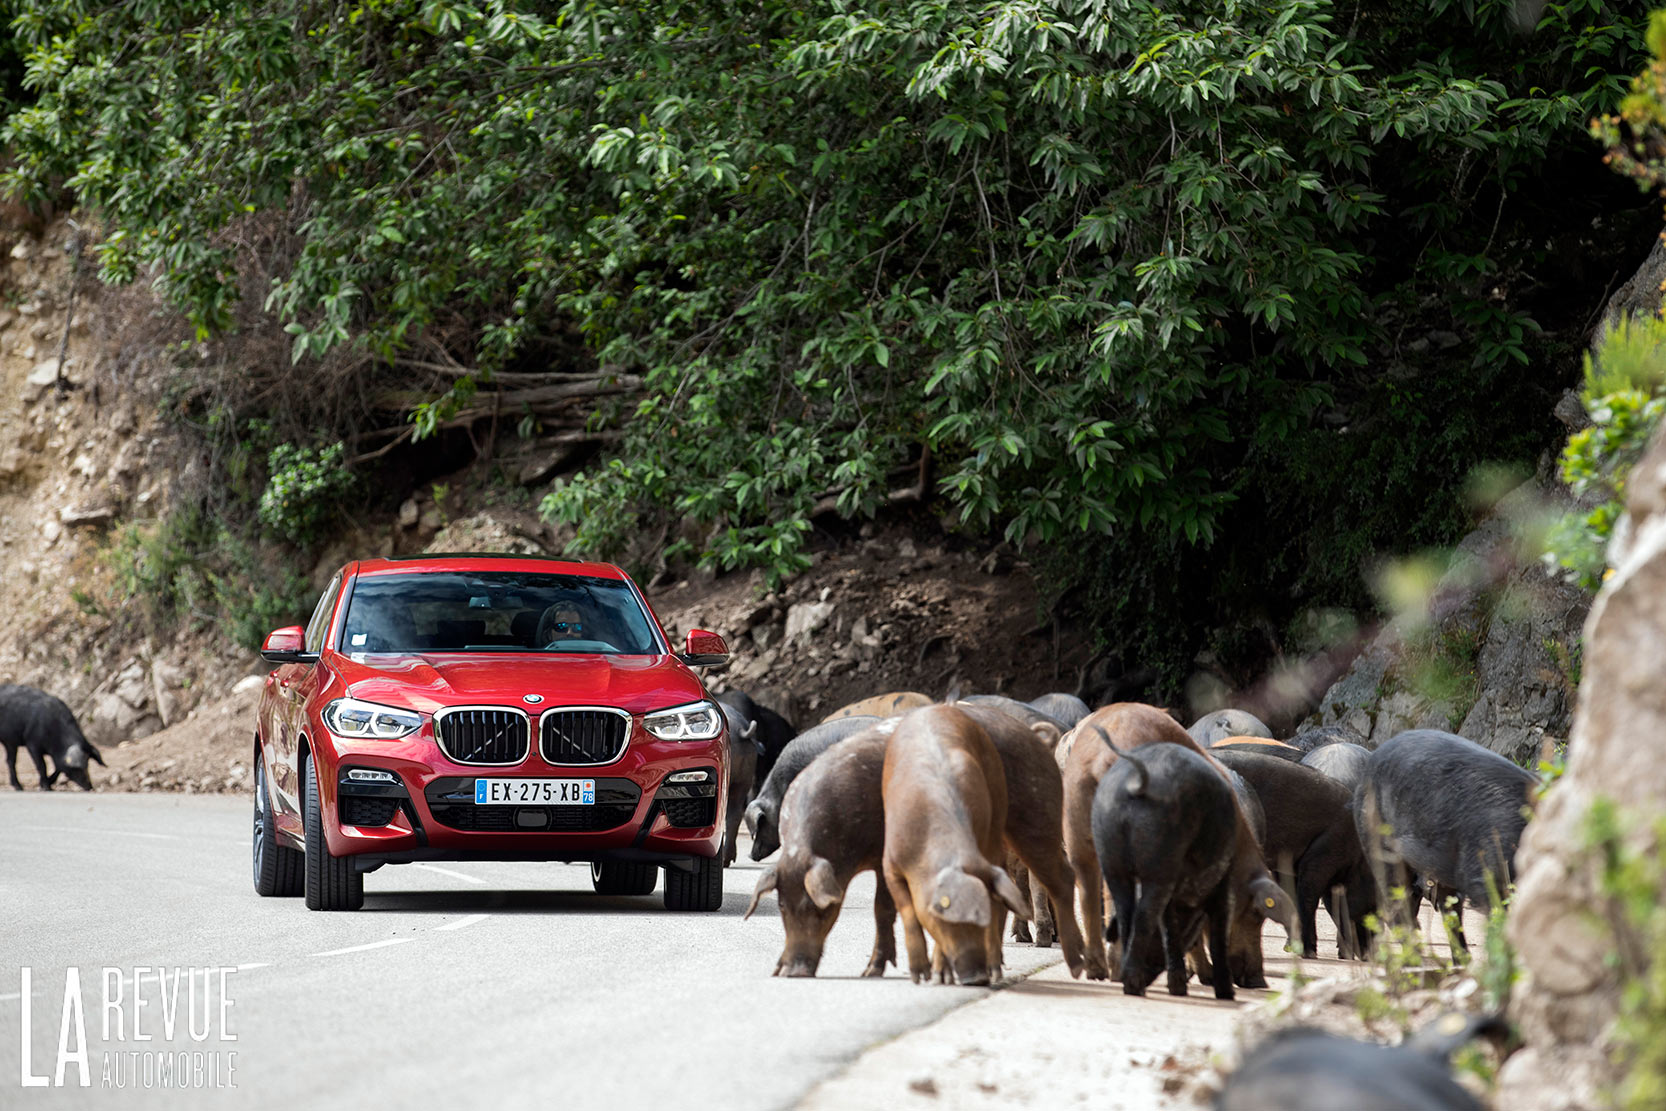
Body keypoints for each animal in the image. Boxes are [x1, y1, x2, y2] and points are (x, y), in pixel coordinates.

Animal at [886, 709, 1026, 986]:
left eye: (980, 921)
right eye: (948, 922)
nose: (977, 978)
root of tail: (935, 709)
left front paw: (940, 977)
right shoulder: (890, 863)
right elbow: (909, 912)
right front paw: (921, 976)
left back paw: (995, 971)